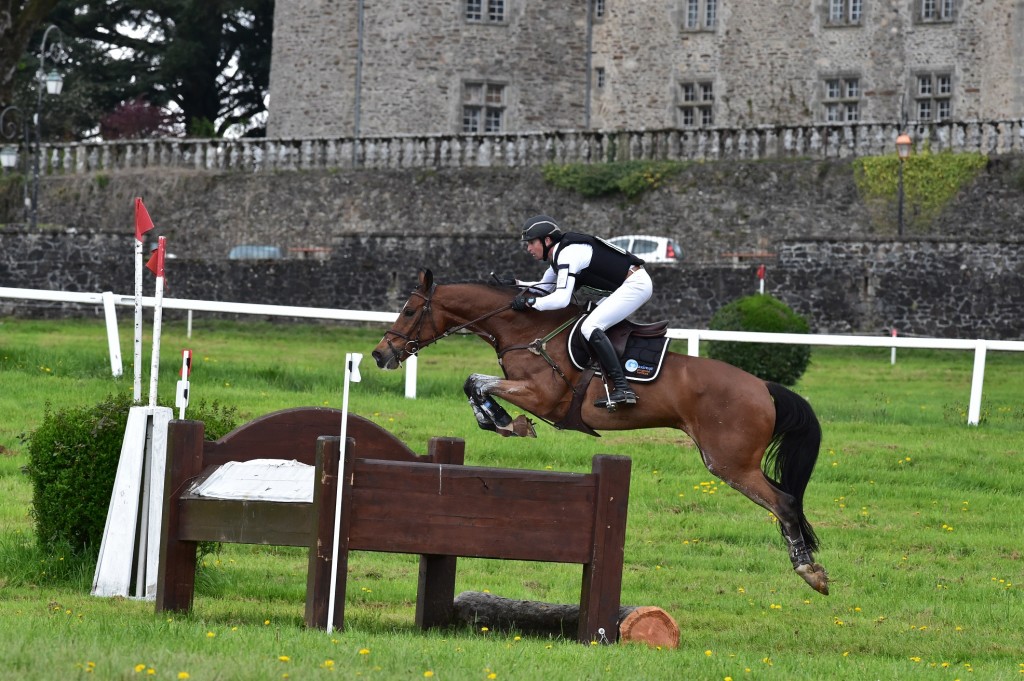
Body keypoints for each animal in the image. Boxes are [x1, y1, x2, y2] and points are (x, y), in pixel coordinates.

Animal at [372, 268, 827, 593]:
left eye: (409, 311)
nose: (379, 355)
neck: (528, 331)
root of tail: (764, 387)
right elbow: (474, 383)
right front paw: (501, 421)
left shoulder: (542, 396)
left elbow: (477, 382)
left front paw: (503, 421)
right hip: (733, 461)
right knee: (785, 501)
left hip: (730, 464)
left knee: (785, 502)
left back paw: (810, 572)